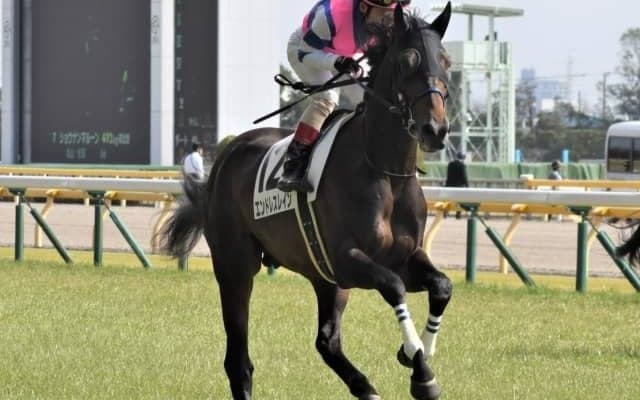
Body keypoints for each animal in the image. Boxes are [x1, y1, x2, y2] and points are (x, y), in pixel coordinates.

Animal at [161, 4, 453, 399]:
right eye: (407, 61)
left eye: (447, 61)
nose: (435, 130)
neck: (385, 172)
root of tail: (226, 155)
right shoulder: (347, 260)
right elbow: (393, 286)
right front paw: (419, 366)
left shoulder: (404, 256)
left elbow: (442, 286)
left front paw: (417, 359)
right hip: (236, 267)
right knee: (238, 360)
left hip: (323, 278)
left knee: (327, 341)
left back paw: (365, 387)